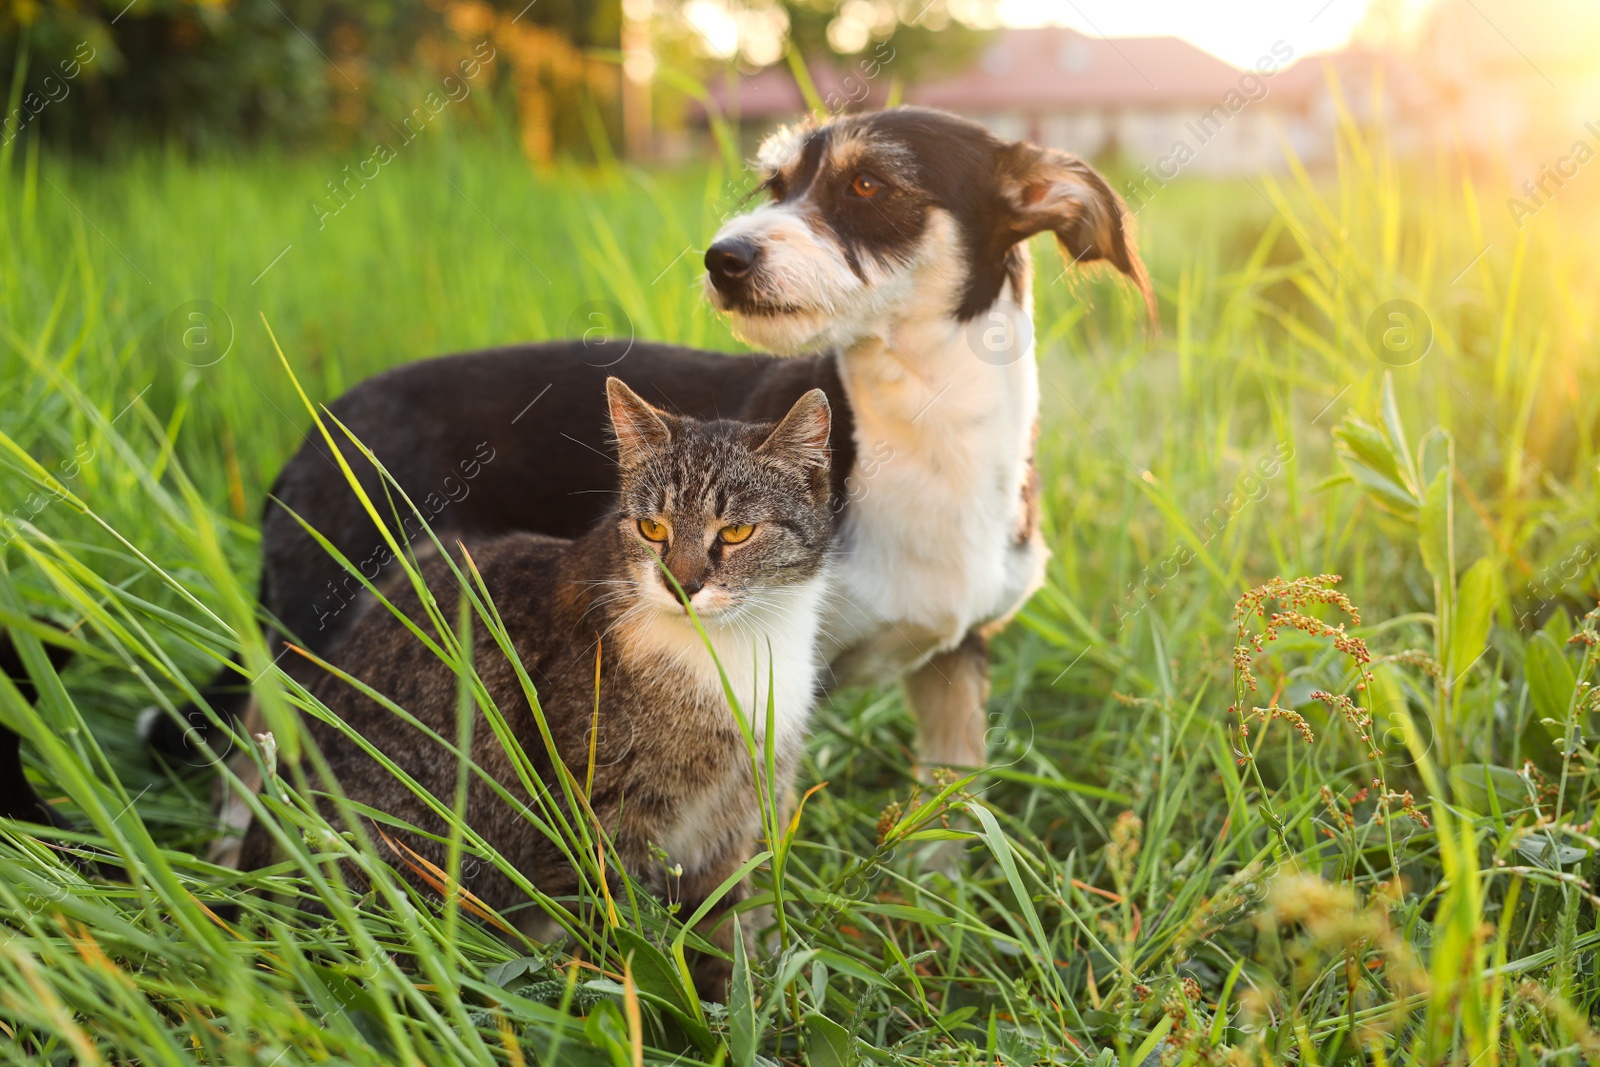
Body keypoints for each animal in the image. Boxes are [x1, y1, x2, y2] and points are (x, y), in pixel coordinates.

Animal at [140, 103, 1152, 780]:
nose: (724, 258)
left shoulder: (955, 662)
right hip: (316, 629)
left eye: (869, 184)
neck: (921, 432)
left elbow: (947, 826)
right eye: (776, 185)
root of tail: (316, 431)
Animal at [241, 379, 838, 998]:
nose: (682, 584)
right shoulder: (597, 819)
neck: (730, 653)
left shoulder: (737, 819)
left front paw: (730, 1005)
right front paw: (638, 1003)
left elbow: (722, 933)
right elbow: (617, 936)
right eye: (653, 529)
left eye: (737, 532)